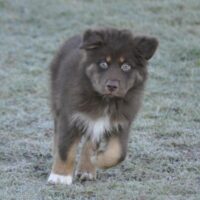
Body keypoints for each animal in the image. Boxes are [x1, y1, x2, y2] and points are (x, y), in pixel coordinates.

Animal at [47, 27, 158, 184]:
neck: (106, 101)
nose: (111, 86)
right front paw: (60, 177)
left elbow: (119, 153)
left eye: (126, 66)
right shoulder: (70, 117)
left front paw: (97, 159)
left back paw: (87, 169)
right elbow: (65, 149)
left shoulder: (121, 122)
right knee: (58, 137)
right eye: (103, 64)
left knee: (90, 142)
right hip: (58, 103)